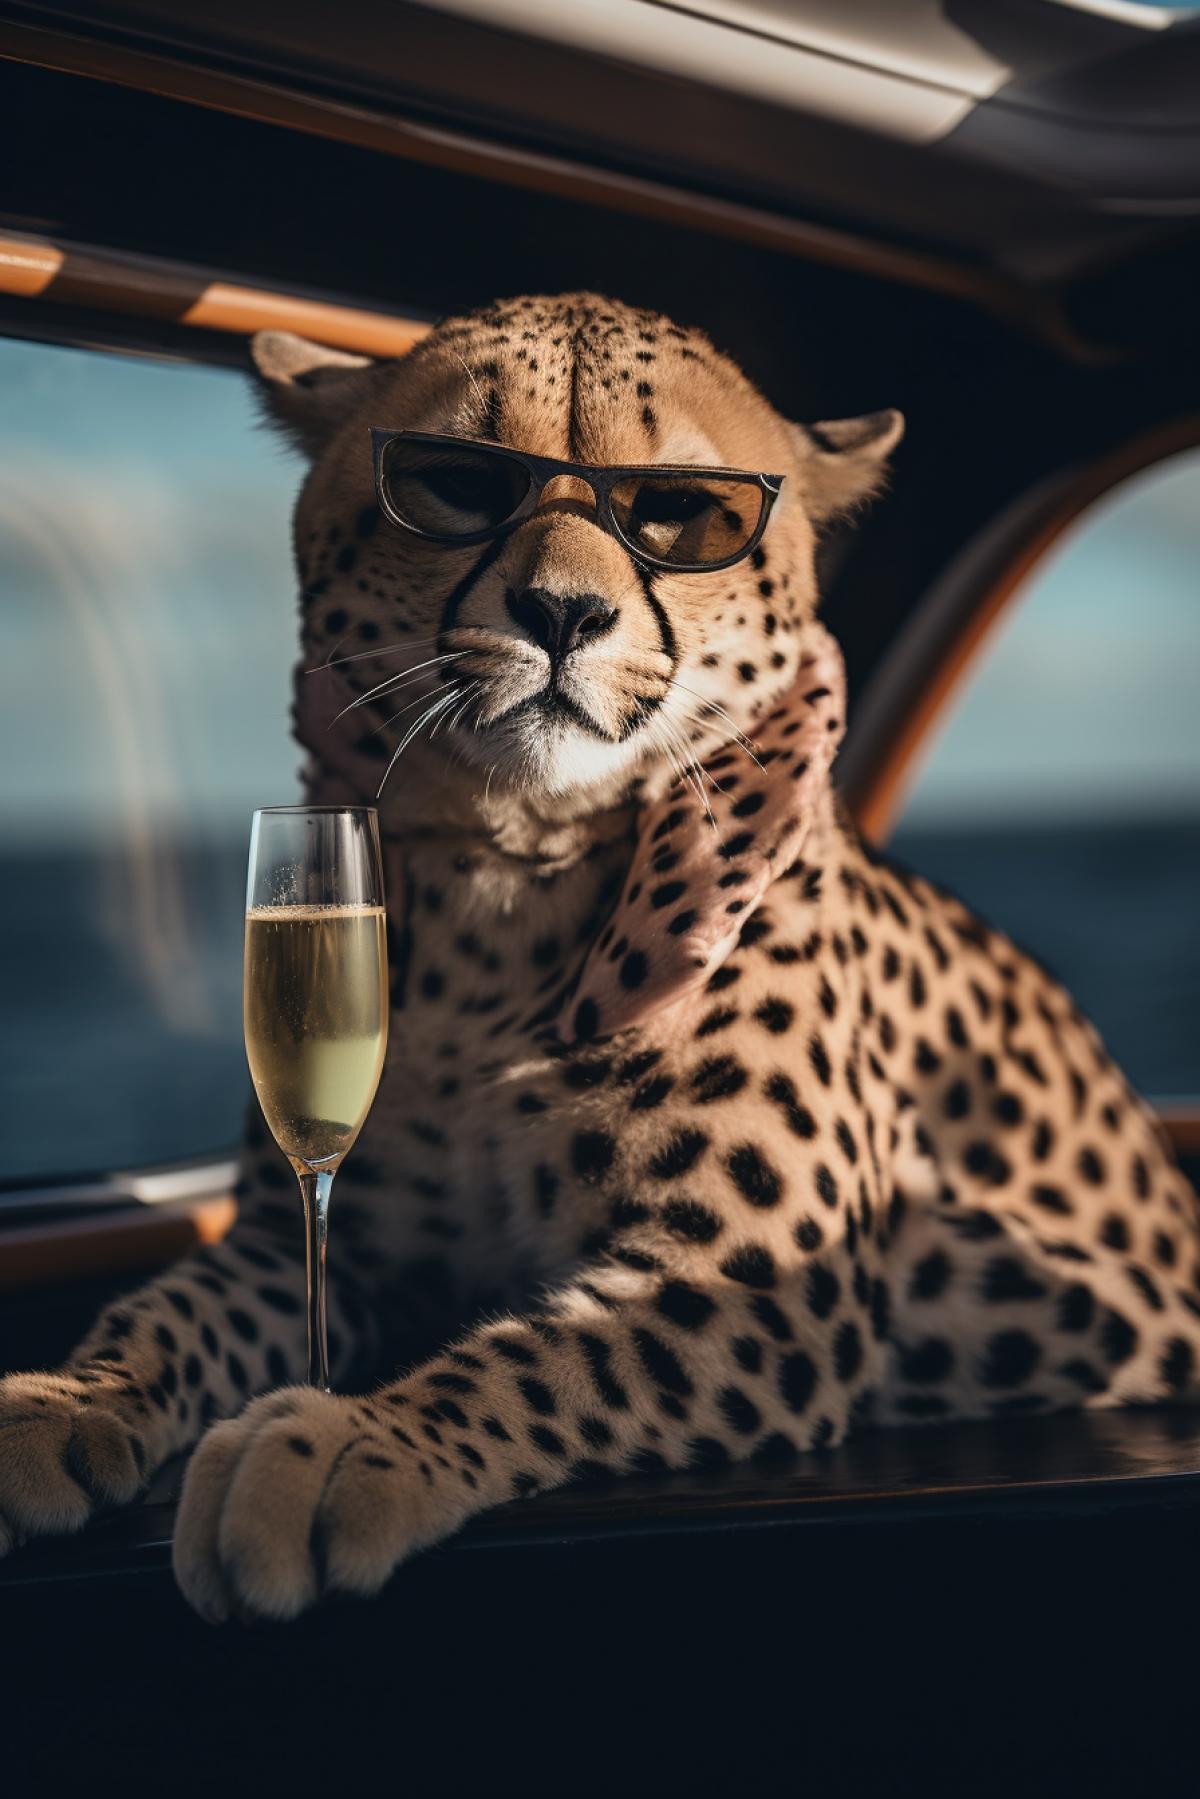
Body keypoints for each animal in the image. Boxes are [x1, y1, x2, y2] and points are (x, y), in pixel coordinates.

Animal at [2, 291, 1197, 1625]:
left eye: (679, 511)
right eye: (459, 484)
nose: (564, 613)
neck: (508, 883)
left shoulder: (755, 1282)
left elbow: (545, 1359)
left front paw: (341, 1442)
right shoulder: (310, 1239)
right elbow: (169, 1309)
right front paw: (63, 1400)